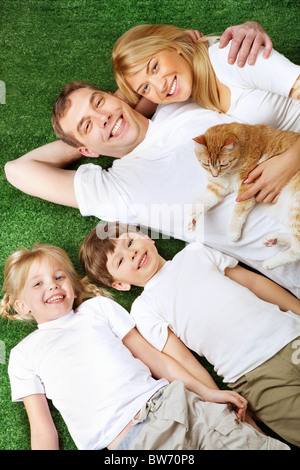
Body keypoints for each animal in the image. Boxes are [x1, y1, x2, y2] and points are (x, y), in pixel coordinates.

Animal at [186, 123, 298, 270]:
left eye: (223, 164)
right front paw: (191, 218)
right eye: (205, 164)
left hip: (296, 206)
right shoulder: (217, 187)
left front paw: (233, 231)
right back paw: (273, 239)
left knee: (297, 251)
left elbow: (240, 209)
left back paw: (271, 262)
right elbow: (201, 201)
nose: (215, 174)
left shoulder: (248, 185)